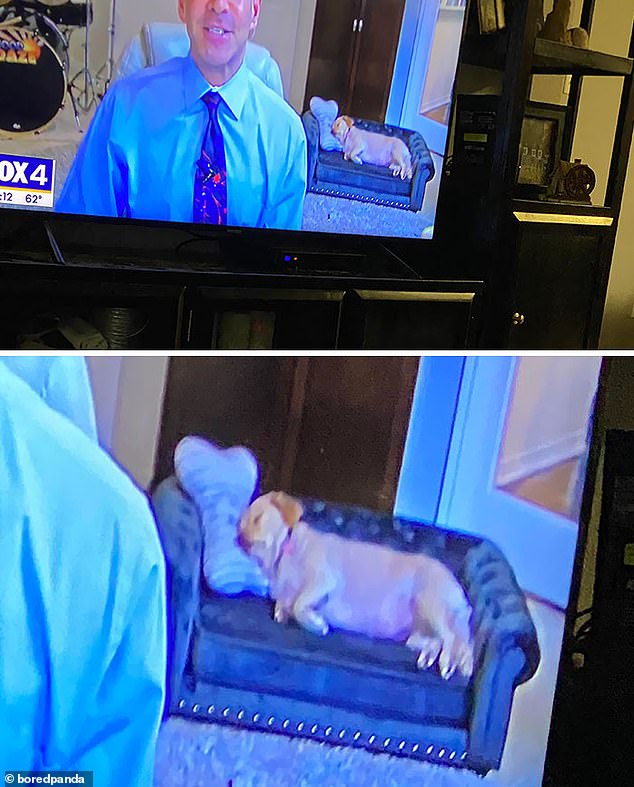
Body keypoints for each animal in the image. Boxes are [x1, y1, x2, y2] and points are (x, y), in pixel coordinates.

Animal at [235, 490, 472, 680]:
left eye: (258, 518)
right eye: (239, 527)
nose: (240, 541)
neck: (281, 557)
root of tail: (460, 595)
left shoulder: (323, 579)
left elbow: (299, 604)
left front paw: (316, 623)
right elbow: (284, 609)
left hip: (429, 603)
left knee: (452, 639)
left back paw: (447, 665)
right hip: (415, 635)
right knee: (440, 642)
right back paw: (430, 659)